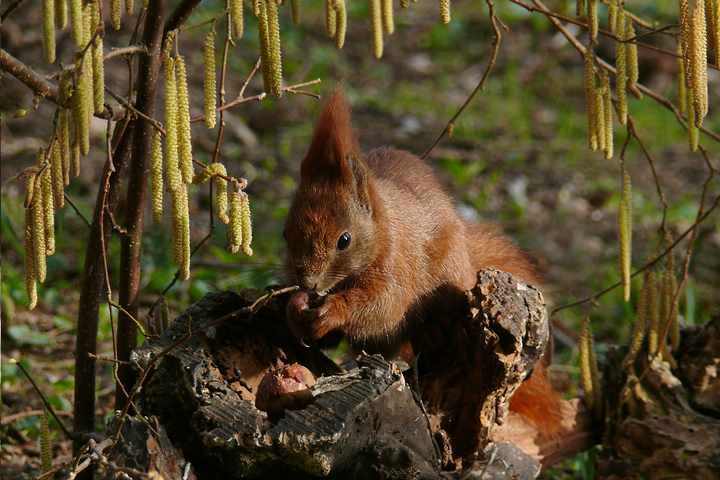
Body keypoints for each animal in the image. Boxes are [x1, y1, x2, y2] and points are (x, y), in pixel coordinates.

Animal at [283, 88, 563, 437]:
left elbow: (384, 306)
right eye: (285, 232)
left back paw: (430, 333)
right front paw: (294, 312)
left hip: (451, 278)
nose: (308, 283)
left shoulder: (398, 265)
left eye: (344, 240)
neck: (382, 228)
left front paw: (332, 311)